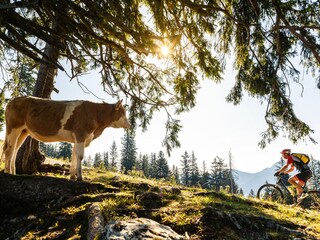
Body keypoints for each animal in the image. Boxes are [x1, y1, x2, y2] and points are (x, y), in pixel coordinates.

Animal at [2, 95, 130, 180]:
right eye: (123, 112)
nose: (129, 124)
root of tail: (14, 99)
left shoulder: (78, 139)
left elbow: (74, 156)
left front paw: (72, 176)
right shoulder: (81, 134)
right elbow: (80, 156)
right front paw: (80, 177)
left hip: (23, 131)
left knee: (14, 149)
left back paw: (13, 172)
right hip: (14, 128)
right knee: (9, 150)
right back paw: (8, 171)